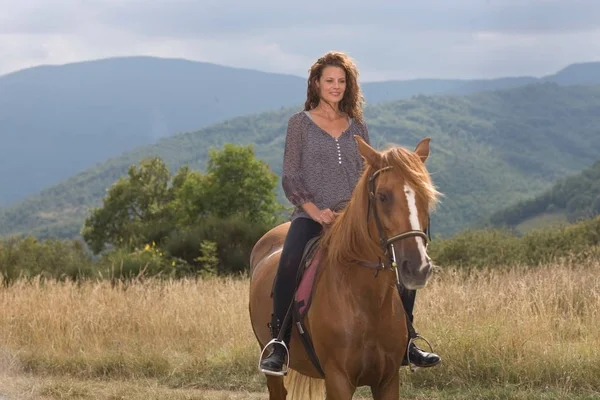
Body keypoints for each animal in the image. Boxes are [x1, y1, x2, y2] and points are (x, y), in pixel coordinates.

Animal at [247, 136, 440, 398]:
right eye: (382, 196)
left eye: (425, 197)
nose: (417, 267)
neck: (367, 301)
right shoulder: (339, 380)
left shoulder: (388, 380)